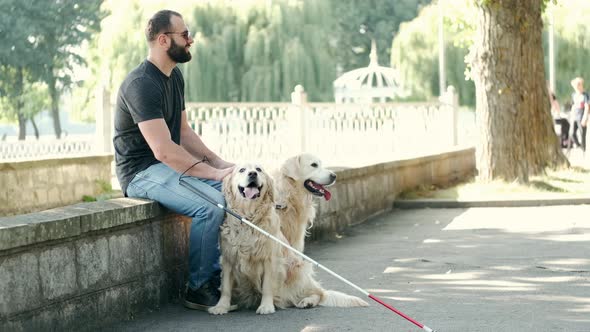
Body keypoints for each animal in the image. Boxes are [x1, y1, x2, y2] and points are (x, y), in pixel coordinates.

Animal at [212, 165, 370, 316]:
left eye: (258, 169)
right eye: (242, 170)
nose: (252, 174)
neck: (248, 218)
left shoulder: (271, 259)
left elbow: (267, 285)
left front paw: (266, 306)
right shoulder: (227, 258)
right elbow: (225, 286)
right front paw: (221, 306)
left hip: (298, 271)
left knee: (318, 293)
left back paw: (307, 301)